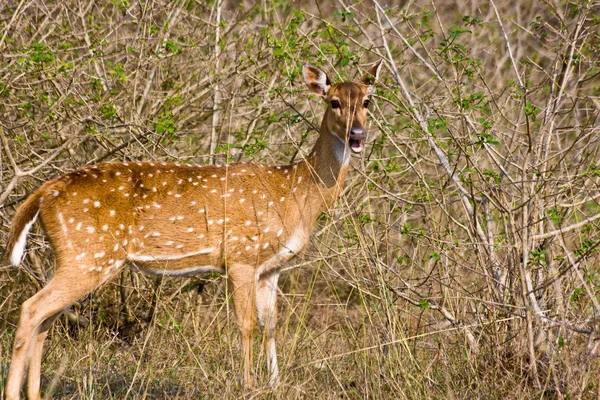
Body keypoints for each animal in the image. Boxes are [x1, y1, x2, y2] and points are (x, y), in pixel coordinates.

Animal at [3, 60, 380, 400]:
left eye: (367, 102)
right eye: (333, 101)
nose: (357, 135)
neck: (295, 192)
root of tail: (44, 192)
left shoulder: (272, 266)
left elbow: (271, 324)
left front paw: (274, 384)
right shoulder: (241, 255)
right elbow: (246, 325)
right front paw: (248, 385)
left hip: (75, 256)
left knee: (45, 320)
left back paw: (35, 394)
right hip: (89, 254)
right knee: (31, 310)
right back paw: (13, 393)